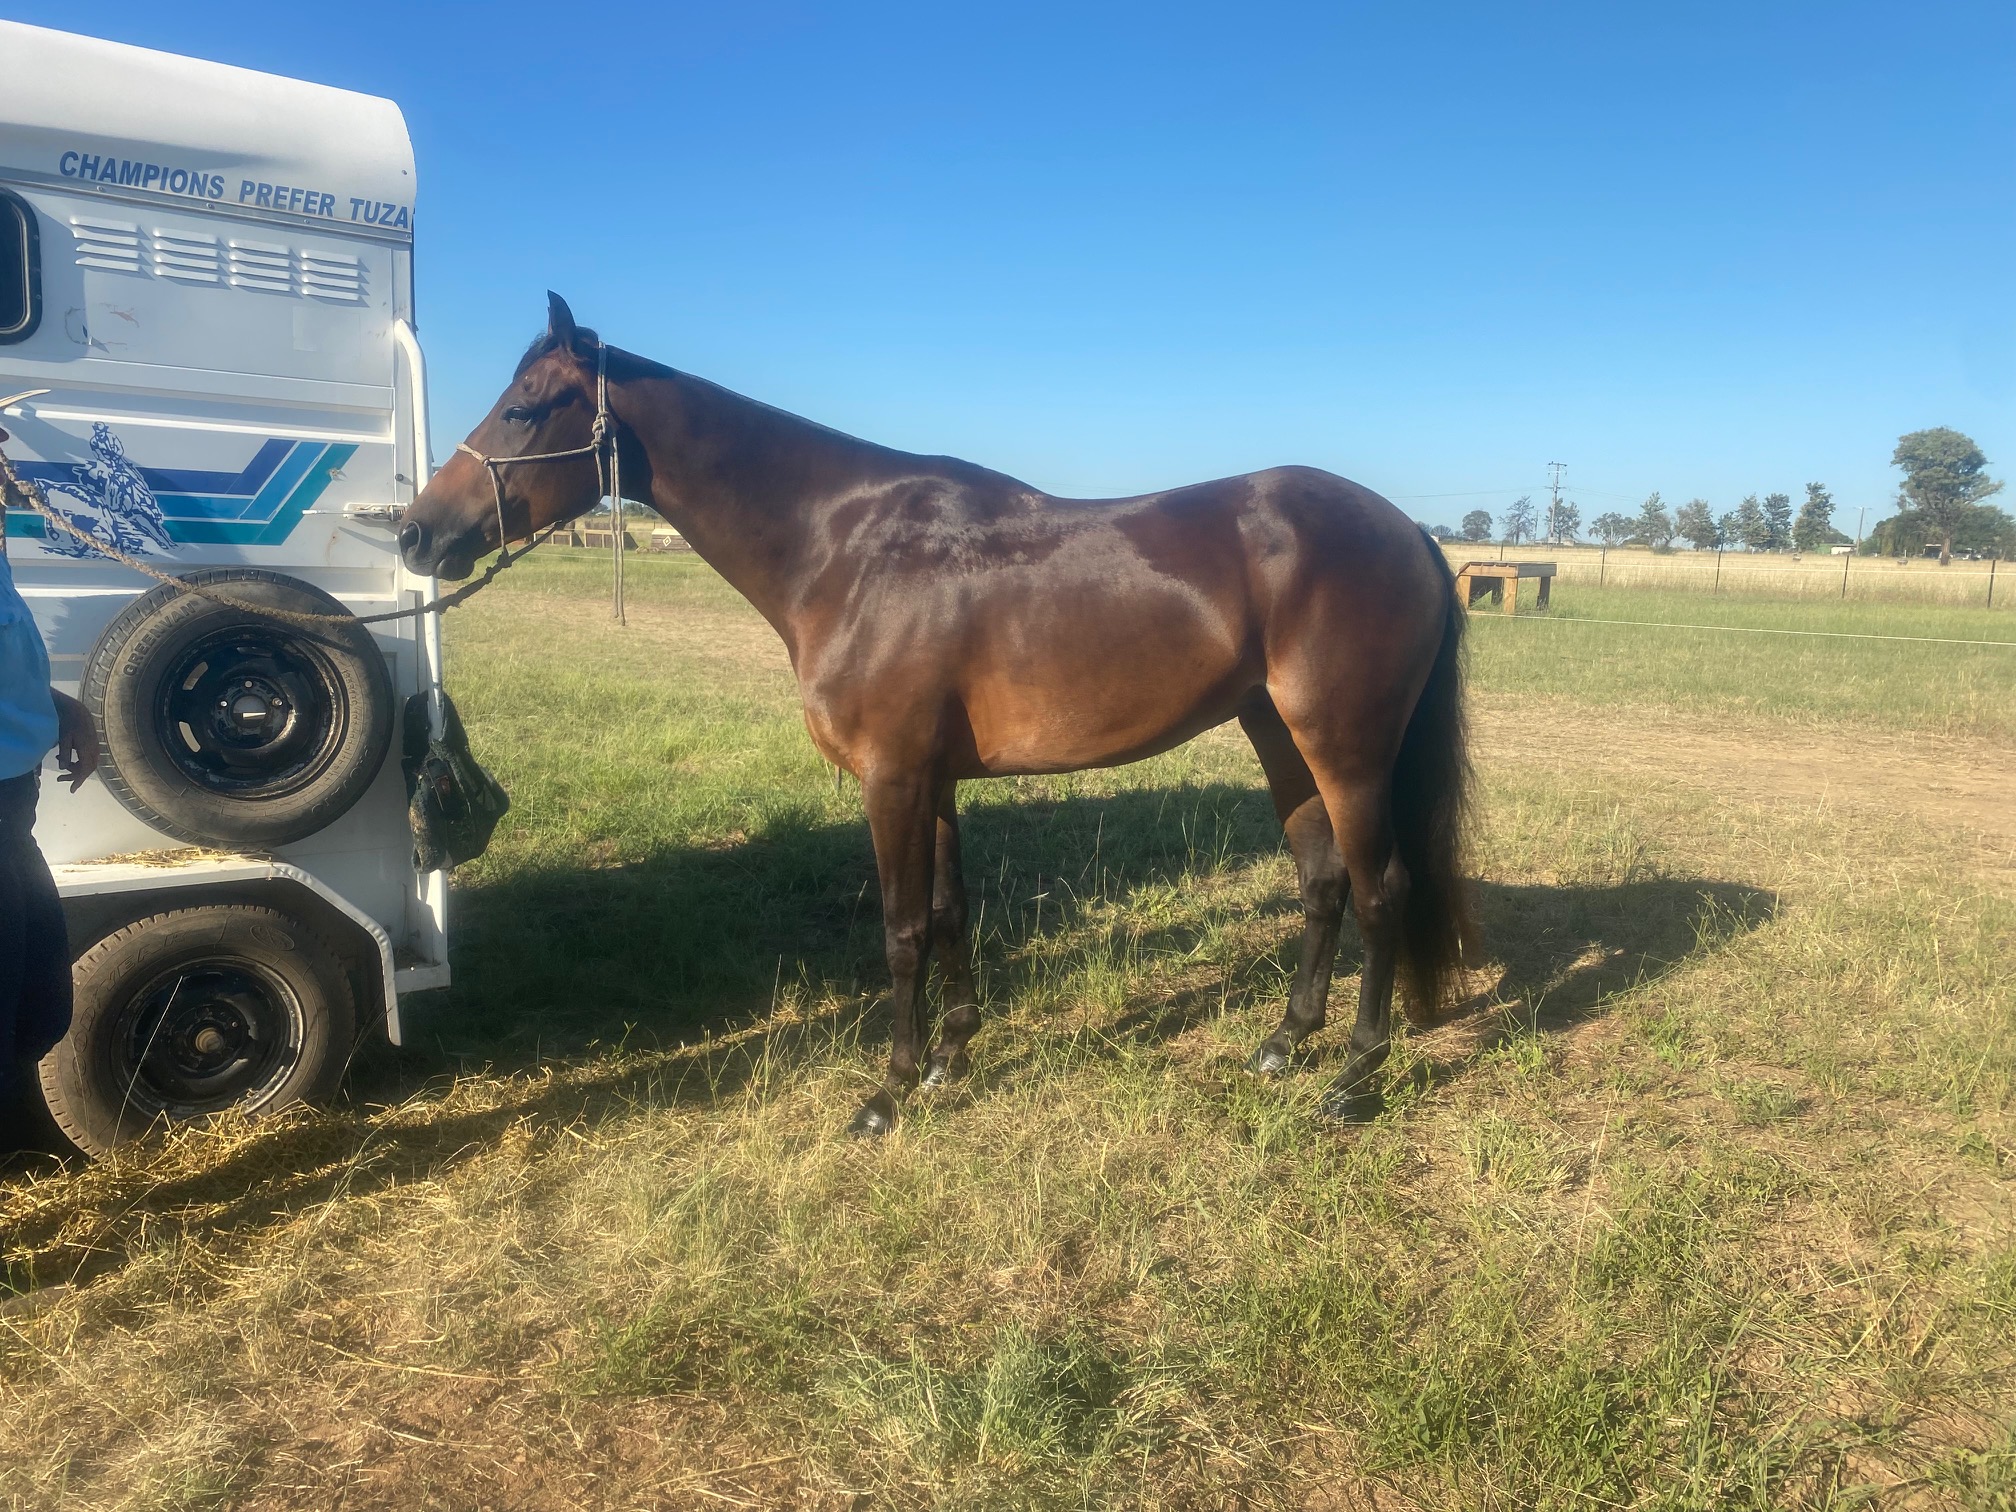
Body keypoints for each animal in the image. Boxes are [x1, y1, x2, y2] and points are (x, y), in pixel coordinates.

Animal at [398, 293, 1473, 1136]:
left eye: (524, 407)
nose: (414, 533)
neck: (847, 548)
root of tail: (1408, 533)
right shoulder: (937, 780)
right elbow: (953, 912)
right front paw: (955, 1059)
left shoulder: (892, 779)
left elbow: (902, 929)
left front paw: (890, 1091)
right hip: (1279, 737)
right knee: (1323, 882)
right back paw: (1285, 1041)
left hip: (1347, 750)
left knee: (1382, 891)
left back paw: (1355, 1078)